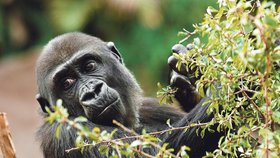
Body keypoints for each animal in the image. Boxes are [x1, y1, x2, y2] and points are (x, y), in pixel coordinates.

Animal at [36, 32, 222, 157]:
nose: (92, 91)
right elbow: (157, 152)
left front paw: (192, 78)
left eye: (89, 66)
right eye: (67, 83)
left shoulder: (149, 106)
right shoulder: (67, 132)